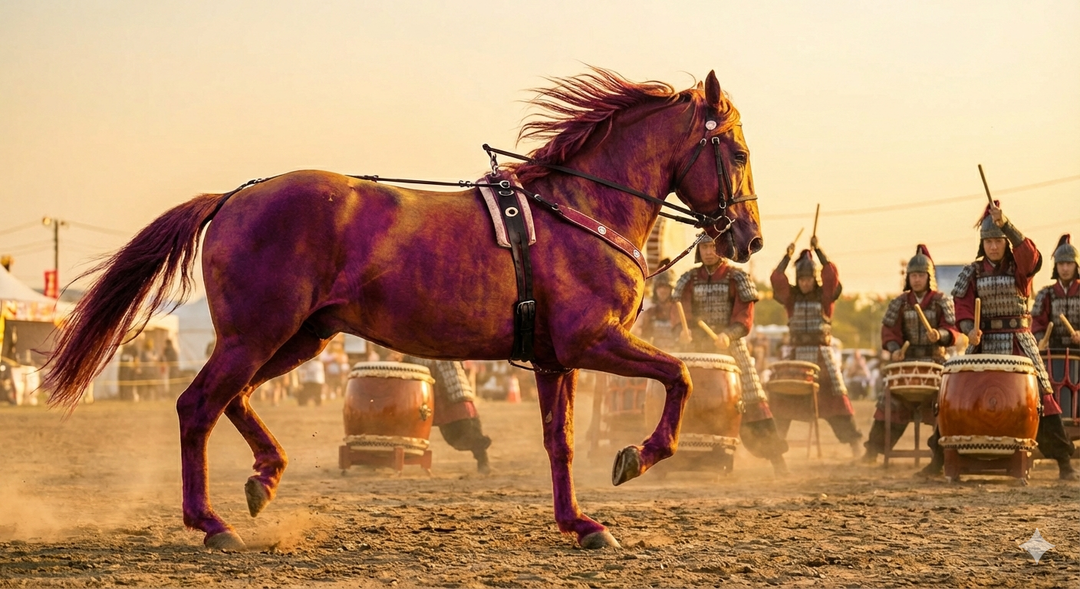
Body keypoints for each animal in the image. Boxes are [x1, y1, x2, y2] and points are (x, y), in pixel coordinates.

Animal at [44, 68, 763, 550]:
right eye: (738, 152)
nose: (750, 238)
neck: (578, 211)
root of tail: (234, 198)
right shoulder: (594, 341)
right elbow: (681, 374)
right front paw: (638, 455)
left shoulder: (553, 361)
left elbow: (558, 441)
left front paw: (579, 522)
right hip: (257, 335)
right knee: (198, 405)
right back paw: (211, 522)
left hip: (295, 338)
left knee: (232, 399)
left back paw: (264, 478)